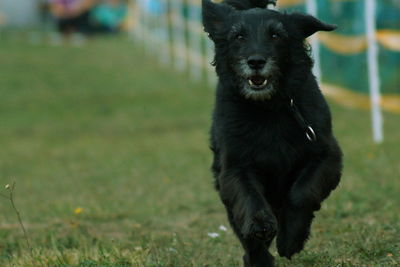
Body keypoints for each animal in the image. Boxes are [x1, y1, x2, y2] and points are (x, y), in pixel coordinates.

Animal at [203, 1, 344, 266]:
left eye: (276, 35)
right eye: (238, 36)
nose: (256, 61)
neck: (268, 108)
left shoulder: (326, 156)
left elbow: (301, 193)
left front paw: (290, 239)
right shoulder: (235, 167)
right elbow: (250, 199)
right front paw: (261, 227)